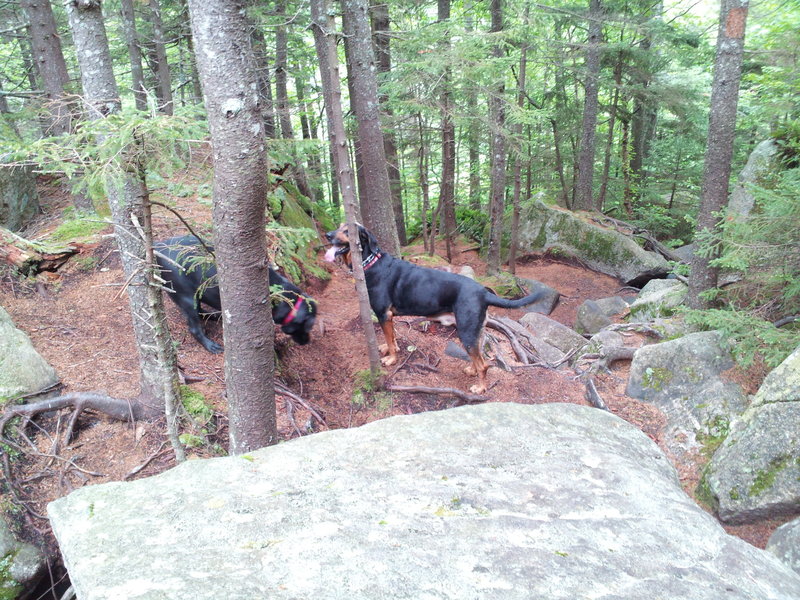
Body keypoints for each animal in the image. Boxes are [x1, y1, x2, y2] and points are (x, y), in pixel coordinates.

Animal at [155, 234, 318, 354]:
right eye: (307, 327)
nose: (307, 342)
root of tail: (160, 247)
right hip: (186, 297)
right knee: (195, 327)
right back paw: (210, 345)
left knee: (201, 311)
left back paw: (216, 315)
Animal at [324, 224, 544, 394]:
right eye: (339, 226)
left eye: (347, 230)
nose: (327, 235)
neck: (369, 263)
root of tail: (484, 293)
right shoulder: (389, 316)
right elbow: (392, 337)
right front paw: (389, 348)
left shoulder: (383, 314)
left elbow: (390, 339)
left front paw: (391, 359)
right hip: (476, 330)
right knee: (481, 357)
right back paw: (472, 371)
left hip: (466, 330)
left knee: (484, 364)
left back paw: (480, 388)